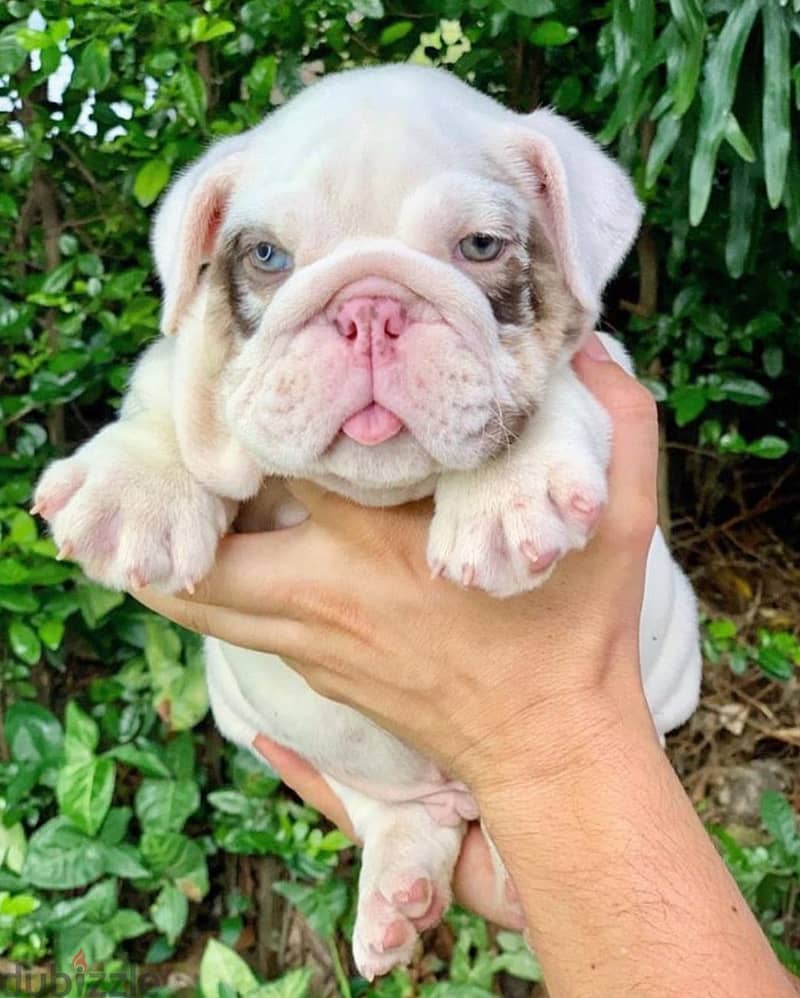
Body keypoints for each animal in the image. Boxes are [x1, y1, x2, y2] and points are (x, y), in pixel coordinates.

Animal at [36, 66, 700, 980]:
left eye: (481, 247)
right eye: (268, 256)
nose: (371, 308)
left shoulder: (600, 368)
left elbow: (552, 391)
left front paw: (508, 492)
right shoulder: (190, 364)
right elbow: (172, 388)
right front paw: (136, 487)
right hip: (262, 727)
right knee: (384, 808)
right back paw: (398, 889)